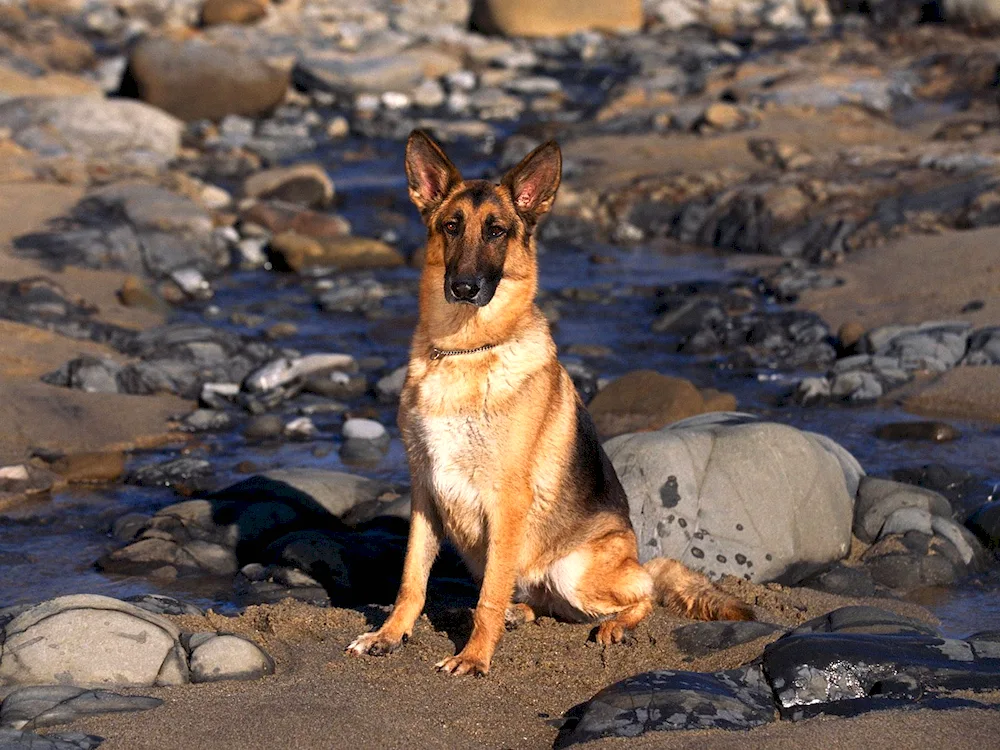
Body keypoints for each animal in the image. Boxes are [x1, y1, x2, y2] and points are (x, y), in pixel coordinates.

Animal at [346, 132, 752, 680]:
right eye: (451, 226)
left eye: (496, 231)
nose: (464, 288)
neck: (467, 351)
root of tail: (638, 556)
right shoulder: (425, 493)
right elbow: (412, 578)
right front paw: (390, 636)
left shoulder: (506, 501)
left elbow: (487, 597)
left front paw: (474, 657)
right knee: (545, 600)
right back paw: (523, 612)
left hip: (575, 568)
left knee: (643, 592)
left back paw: (613, 626)